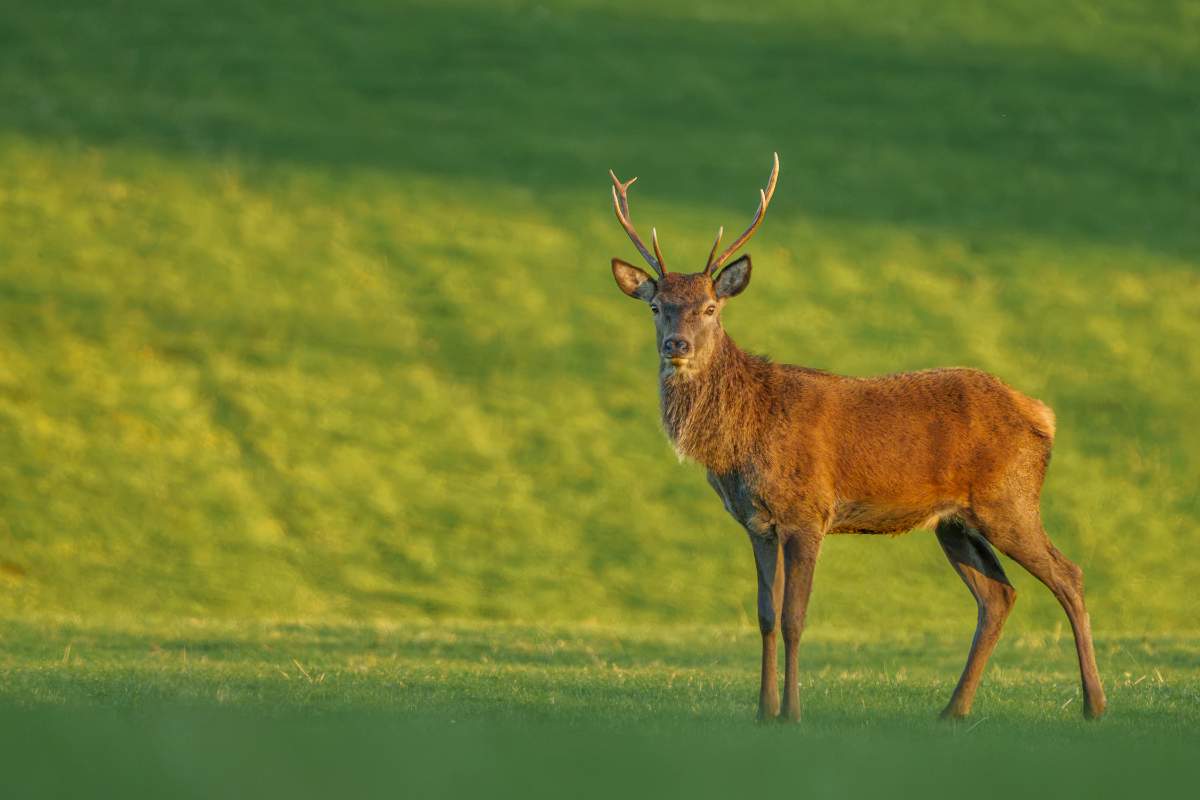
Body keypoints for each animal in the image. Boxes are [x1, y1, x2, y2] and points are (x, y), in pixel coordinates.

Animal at [606, 153, 1107, 722]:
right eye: (656, 306)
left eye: (711, 308)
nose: (677, 344)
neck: (742, 439)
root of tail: (1042, 414)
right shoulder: (757, 523)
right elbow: (765, 616)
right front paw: (762, 711)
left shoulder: (808, 511)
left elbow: (795, 617)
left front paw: (791, 714)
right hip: (954, 522)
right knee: (998, 595)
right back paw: (953, 709)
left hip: (1010, 499)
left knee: (1069, 575)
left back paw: (1094, 704)